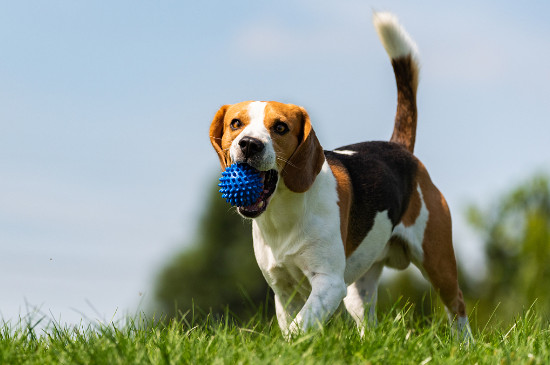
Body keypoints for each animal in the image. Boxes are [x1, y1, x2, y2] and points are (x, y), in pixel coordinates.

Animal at [209, 12, 472, 342]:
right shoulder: (283, 291)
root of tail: (399, 148)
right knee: (368, 320)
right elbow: (292, 322)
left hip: (436, 258)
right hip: (360, 288)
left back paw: (465, 345)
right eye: (236, 123)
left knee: (457, 305)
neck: (283, 214)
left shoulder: (329, 283)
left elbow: (299, 326)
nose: (249, 144)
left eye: (280, 127)